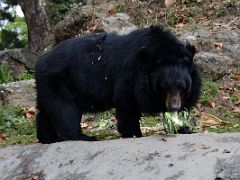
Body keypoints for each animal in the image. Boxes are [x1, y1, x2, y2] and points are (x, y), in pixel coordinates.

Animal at [35, 25, 201, 143]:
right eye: (164, 87)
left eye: (182, 88)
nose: (174, 107)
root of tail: (40, 61)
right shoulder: (130, 75)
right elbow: (127, 105)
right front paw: (134, 134)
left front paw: (184, 128)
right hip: (60, 82)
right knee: (65, 111)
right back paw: (84, 137)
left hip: (47, 87)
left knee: (45, 112)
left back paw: (49, 138)